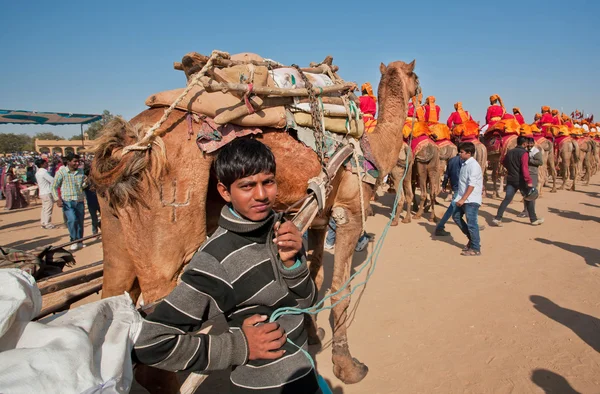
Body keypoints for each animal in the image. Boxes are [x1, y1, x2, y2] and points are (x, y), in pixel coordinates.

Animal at [91, 59, 420, 390]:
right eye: (415, 78)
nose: (418, 97)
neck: (372, 146)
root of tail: (128, 147)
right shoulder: (348, 212)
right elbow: (341, 290)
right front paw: (348, 366)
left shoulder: (318, 219)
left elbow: (314, 277)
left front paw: (313, 334)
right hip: (170, 230)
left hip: (116, 230)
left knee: (113, 301)